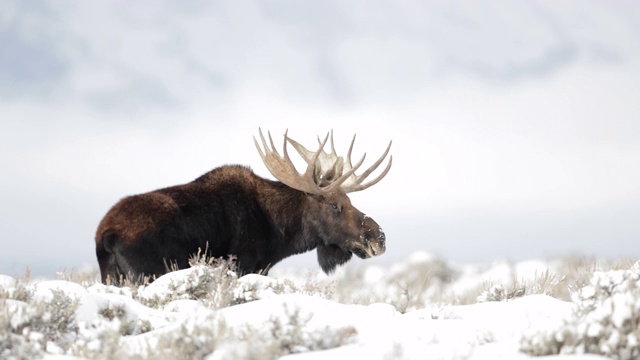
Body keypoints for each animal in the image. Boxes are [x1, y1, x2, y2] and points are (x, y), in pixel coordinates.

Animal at [96, 129, 390, 284]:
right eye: (334, 205)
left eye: (349, 201)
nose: (379, 237)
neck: (278, 231)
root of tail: (106, 235)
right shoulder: (243, 265)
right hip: (149, 273)